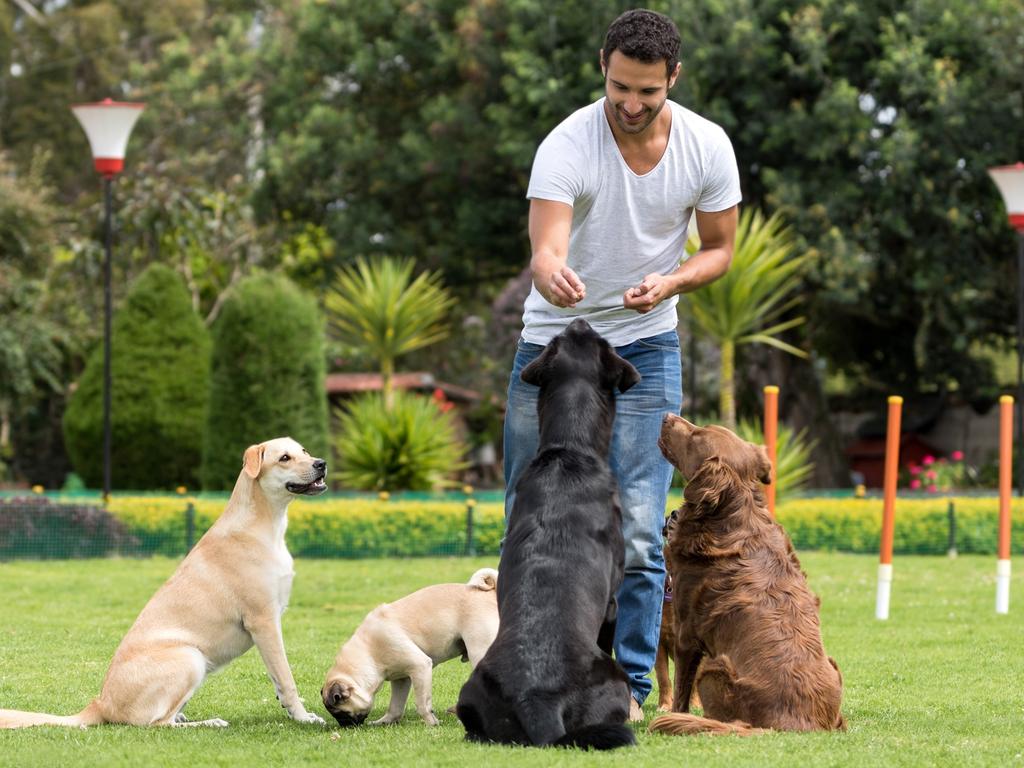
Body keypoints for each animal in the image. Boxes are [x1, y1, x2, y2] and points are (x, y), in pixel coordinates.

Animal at [0, 438, 325, 729]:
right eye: (284, 458)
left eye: (304, 450)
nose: (321, 464)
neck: (262, 525)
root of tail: (101, 703)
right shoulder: (264, 621)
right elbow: (286, 677)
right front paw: (303, 717)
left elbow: (278, 680)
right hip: (190, 657)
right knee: (157, 723)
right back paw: (207, 723)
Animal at [319, 573, 495, 729]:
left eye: (340, 714)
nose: (343, 726)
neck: (369, 652)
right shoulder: (401, 678)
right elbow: (395, 707)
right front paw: (384, 722)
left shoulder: (420, 667)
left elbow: (422, 703)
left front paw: (431, 724)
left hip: (478, 650)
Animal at [458, 319, 638, 753]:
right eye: (603, 342)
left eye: (560, 340)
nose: (580, 320)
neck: (569, 450)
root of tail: (535, 696)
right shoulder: (612, 601)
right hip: (614, 677)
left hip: (469, 693)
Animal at [647, 417, 847, 737]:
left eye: (697, 434)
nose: (666, 416)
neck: (731, 516)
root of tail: (789, 725)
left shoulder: (686, 630)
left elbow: (681, 690)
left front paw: (677, 713)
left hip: (713, 669)